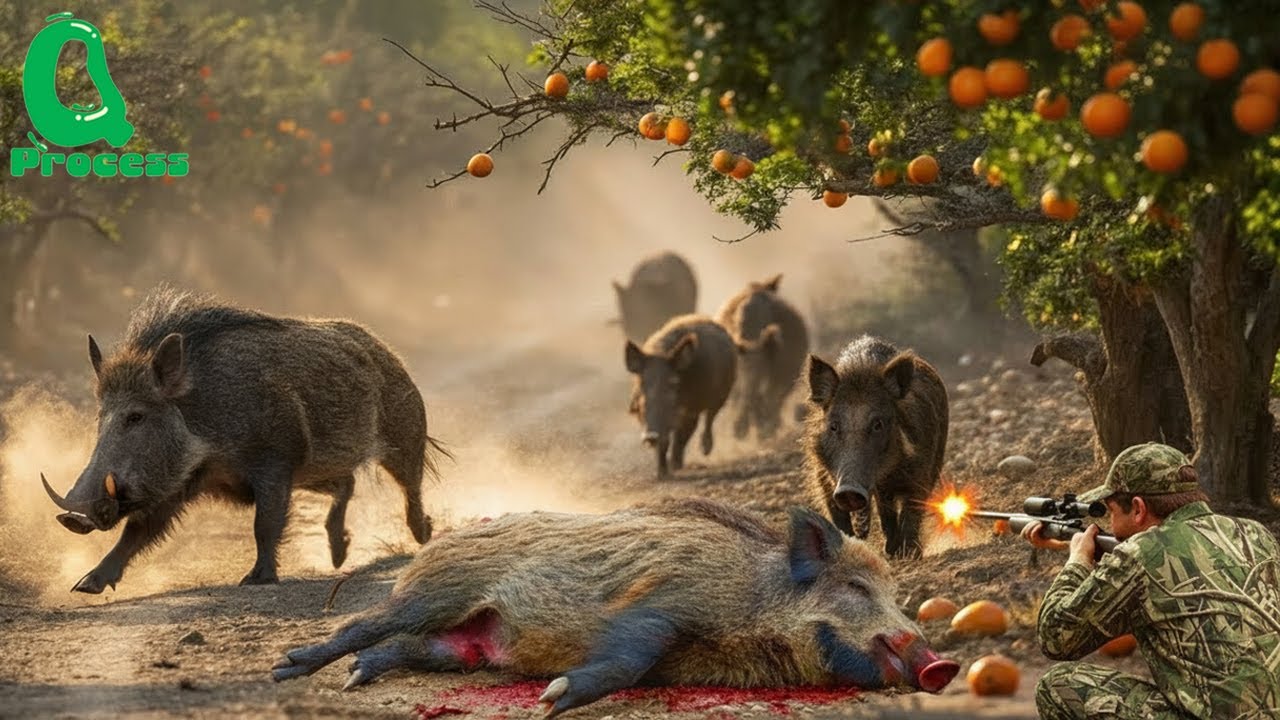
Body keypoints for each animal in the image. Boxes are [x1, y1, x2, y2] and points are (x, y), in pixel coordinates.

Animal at [40, 286, 450, 593]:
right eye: (100, 417)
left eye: (136, 416)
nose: (74, 516)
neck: (207, 435)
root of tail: (382, 347)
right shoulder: (178, 484)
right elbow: (136, 532)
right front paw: (85, 586)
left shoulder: (275, 461)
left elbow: (264, 524)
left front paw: (255, 580)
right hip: (317, 472)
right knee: (346, 483)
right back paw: (338, 556)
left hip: (404, 431)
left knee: (410, 484)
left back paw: (425, 536)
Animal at [271, 498, 960, 715]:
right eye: (857, 589)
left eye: (897, 596)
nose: (943, 665)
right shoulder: (659, 604)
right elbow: (632, 653)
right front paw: (551, 701)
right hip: (435, 594)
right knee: (363, 623)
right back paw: (291, 670)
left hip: (467, 646)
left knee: (409, 647)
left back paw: (358, 677)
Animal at [625, 314, 736, 479]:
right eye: (642, 383)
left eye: (673, 383)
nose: (650, 436)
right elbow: (666, 442)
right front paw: (661, 475)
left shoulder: (688, 410)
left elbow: (682, 434)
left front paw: (672, 468)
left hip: (722, 394)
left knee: (709, 418)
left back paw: (703, 451)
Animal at [803, 335, 948, 559]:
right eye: (833, 426)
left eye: (877, 424)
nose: (849, 490)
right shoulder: (822, 476)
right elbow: (837, 515)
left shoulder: (921, 470)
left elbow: (912, 509)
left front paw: (909, 554)